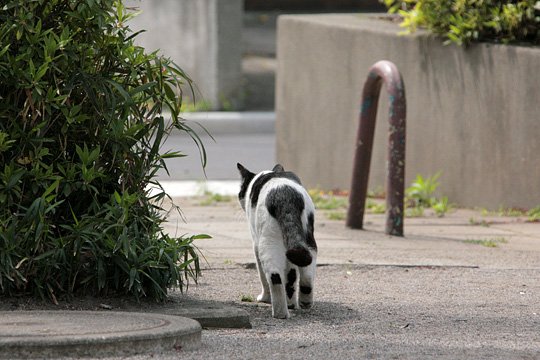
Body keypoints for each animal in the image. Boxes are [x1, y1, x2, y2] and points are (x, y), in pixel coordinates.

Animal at [236, 163, 316, 318]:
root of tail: (283, 193)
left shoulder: (255, 245)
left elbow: (262, 276)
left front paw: (265, 299)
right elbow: (291, 276)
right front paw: (291, 303)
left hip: (268, 243)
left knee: (274, 277)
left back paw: (280, 312)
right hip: (307, 241)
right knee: (305, 275)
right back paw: (303, 303)